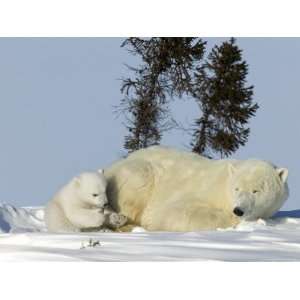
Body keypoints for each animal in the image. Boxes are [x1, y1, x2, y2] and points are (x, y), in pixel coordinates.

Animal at [104, 146, 290, 231]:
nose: (238, 210)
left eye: (255, 190)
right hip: (136, 174)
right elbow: (176, 212)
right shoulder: (202, 188)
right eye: (237, 188)